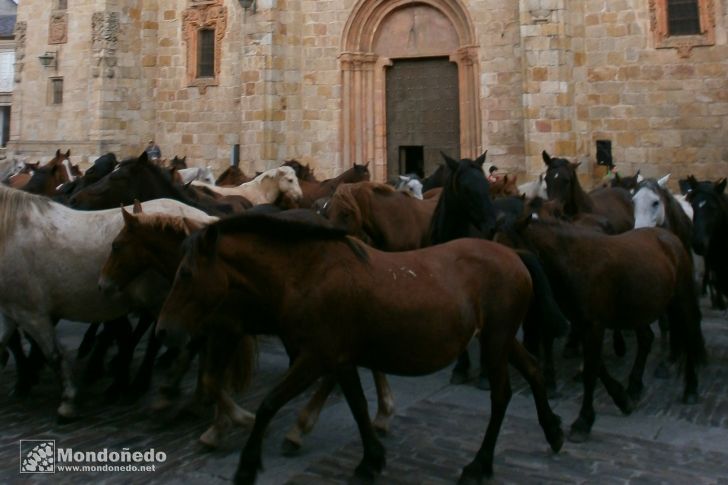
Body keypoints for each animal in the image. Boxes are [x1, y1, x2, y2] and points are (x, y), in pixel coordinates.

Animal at [0, 185, 213, 416]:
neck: (11, 232)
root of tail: (205, 218)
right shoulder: (10, 311)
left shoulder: (31, 313)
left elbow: (54, 355)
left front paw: (67, 401)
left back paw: (141, 386)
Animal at [158, 210, 564, 482]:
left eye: (185, 273)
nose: (163, 331)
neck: (305, 270)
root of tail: (515, 255)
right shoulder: (339, 356)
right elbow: (356, 403)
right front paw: (371, 459)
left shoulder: (316, 354)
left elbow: (270, 403)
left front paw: (247, 464)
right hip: (501, 335)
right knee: (531, 368)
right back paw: (553, 431)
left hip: (495, 339)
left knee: (502, 394)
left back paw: (480, 463)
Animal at [494, 204, 704, 442]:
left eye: (511, 249)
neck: (574, 262)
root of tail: (670, 237)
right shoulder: (583, 323)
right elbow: (596, 365)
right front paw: (622, 399)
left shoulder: (594, 325)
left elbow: (591, 370)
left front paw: (583, 421)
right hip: (637, 308)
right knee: (646, 339)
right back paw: (634, 386)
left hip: (681, 299)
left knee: (689, 333)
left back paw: (690, 388)